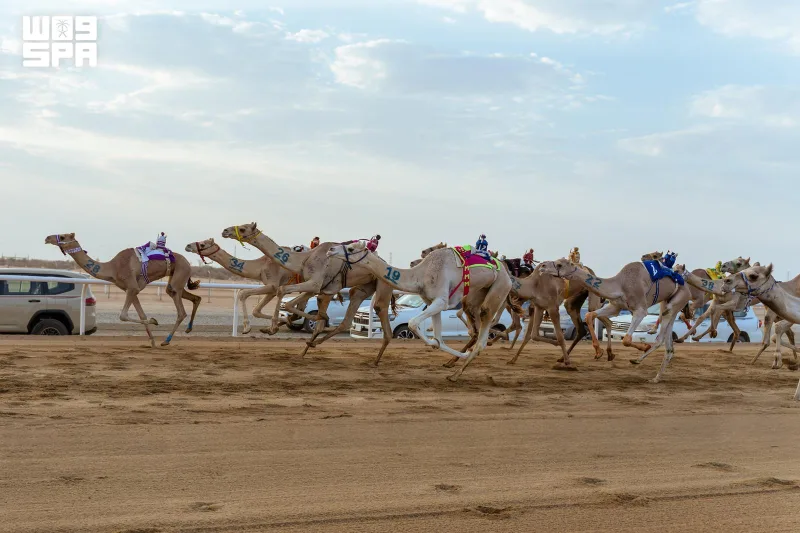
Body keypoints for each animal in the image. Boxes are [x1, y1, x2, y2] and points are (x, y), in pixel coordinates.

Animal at [45, 233, 201, 346]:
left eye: (63, 237)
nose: (47, 238)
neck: (113, 268)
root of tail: (188, 263)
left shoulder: (132, 287)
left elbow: (123, 316)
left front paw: (154, 322)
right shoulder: (131, 289)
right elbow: (142, 315)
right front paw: (152, 340)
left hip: (180, 274)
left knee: (181, 312)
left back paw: (166, 340)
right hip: (175, 280)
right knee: (194, 297)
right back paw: (187, 329)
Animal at [326, 241, 512, 381]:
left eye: (351, 249)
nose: (330, 250)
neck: (420, 275)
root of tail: (508, 275)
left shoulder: (441, 301)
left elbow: (412, 323)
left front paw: (449, 351)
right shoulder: (432, 302)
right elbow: (439, 339)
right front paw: (442, 347)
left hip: (499, 288)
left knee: (483, 333)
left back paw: (455, 374)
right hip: (477, 294)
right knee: (477, 328)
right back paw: (459, 361)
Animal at [539, 258, 691, 383]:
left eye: (559, 264)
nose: (542, 266)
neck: (620, 284)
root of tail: (687, 287)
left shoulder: (640, 309)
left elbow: (626, 340)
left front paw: (643, 347)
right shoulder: (615, 306)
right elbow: (589, 316)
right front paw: (598, 352)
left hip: (677, 301)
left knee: (660, 338)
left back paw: (637, 361)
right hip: (666, 302)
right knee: (669, 346)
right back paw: (656, 378)